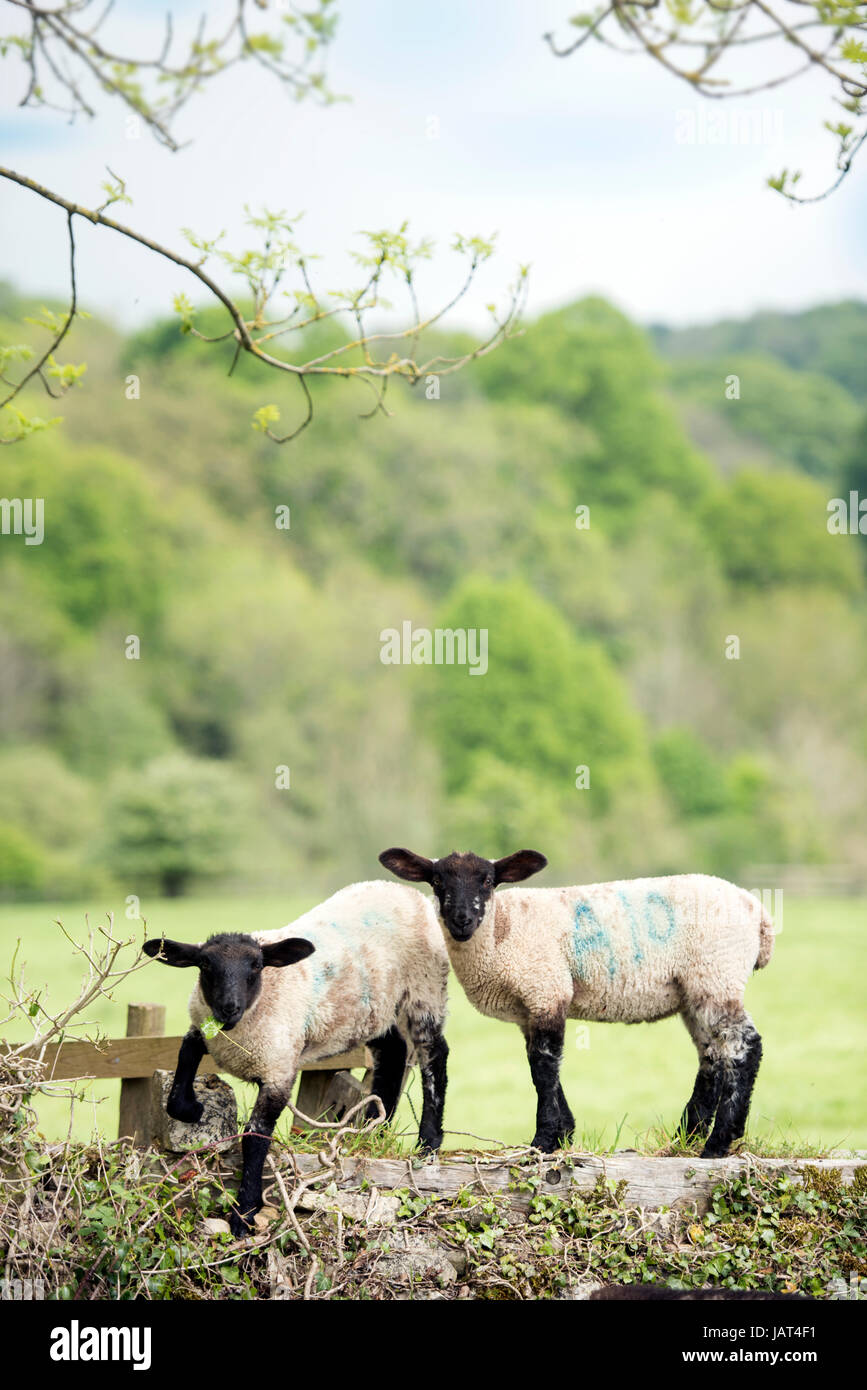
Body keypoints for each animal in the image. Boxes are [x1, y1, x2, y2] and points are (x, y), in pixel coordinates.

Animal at [141, 884, 447, 1234]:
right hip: (372, 1010)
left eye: (256, 966)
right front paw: (192, 1109)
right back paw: (375, 1128)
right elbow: (183, 1064)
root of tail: (406, 890)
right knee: (394, 1052)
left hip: (425, 989)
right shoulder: (206, 1033)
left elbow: (255, 1137)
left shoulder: (279, 1071)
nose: (228, 1008)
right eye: (204, 966)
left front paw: (244, 1214)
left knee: (434, 1057)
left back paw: (428, 1142)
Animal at [375, 845, 778, 1162]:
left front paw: (542, 1141)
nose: (462, 920)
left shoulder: (545, 988)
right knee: (713, 1056)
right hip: (696, 991)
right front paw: (563, 1134)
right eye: (437, 882)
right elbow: (542, 1067)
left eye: (488, 881)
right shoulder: (532, 1006)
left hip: (716, 975)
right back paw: (688, 1137)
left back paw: (718, 1143)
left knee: (746, 1045)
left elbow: (543, 1068)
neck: (502, 931)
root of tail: (759, 915)